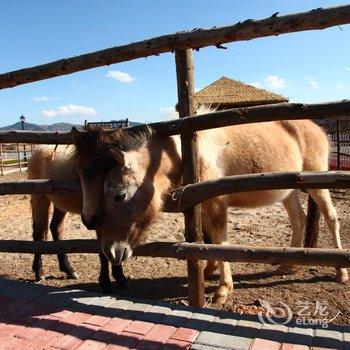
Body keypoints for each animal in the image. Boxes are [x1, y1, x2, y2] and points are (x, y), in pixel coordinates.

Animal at [27, 145, 126, 292]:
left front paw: (120, 278)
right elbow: (104, 252)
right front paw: (106, 283)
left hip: (60, 204)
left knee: (55, 228)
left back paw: (68, 270)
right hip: (40, 199)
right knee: (38, 233)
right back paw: (40, 272)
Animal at [72, 115, 348, 304]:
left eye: (119, 195)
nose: (111, 251)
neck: (185, 152)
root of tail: (317, 128)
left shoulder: (216, 201)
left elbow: (220, 238)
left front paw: (223, 288)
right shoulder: (202, 201)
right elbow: (210, 237)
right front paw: (208, 269)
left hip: (316, 181)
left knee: (331, 218)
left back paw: (341, 271)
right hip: (289, 190)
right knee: (298, 220)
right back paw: (287, 265)